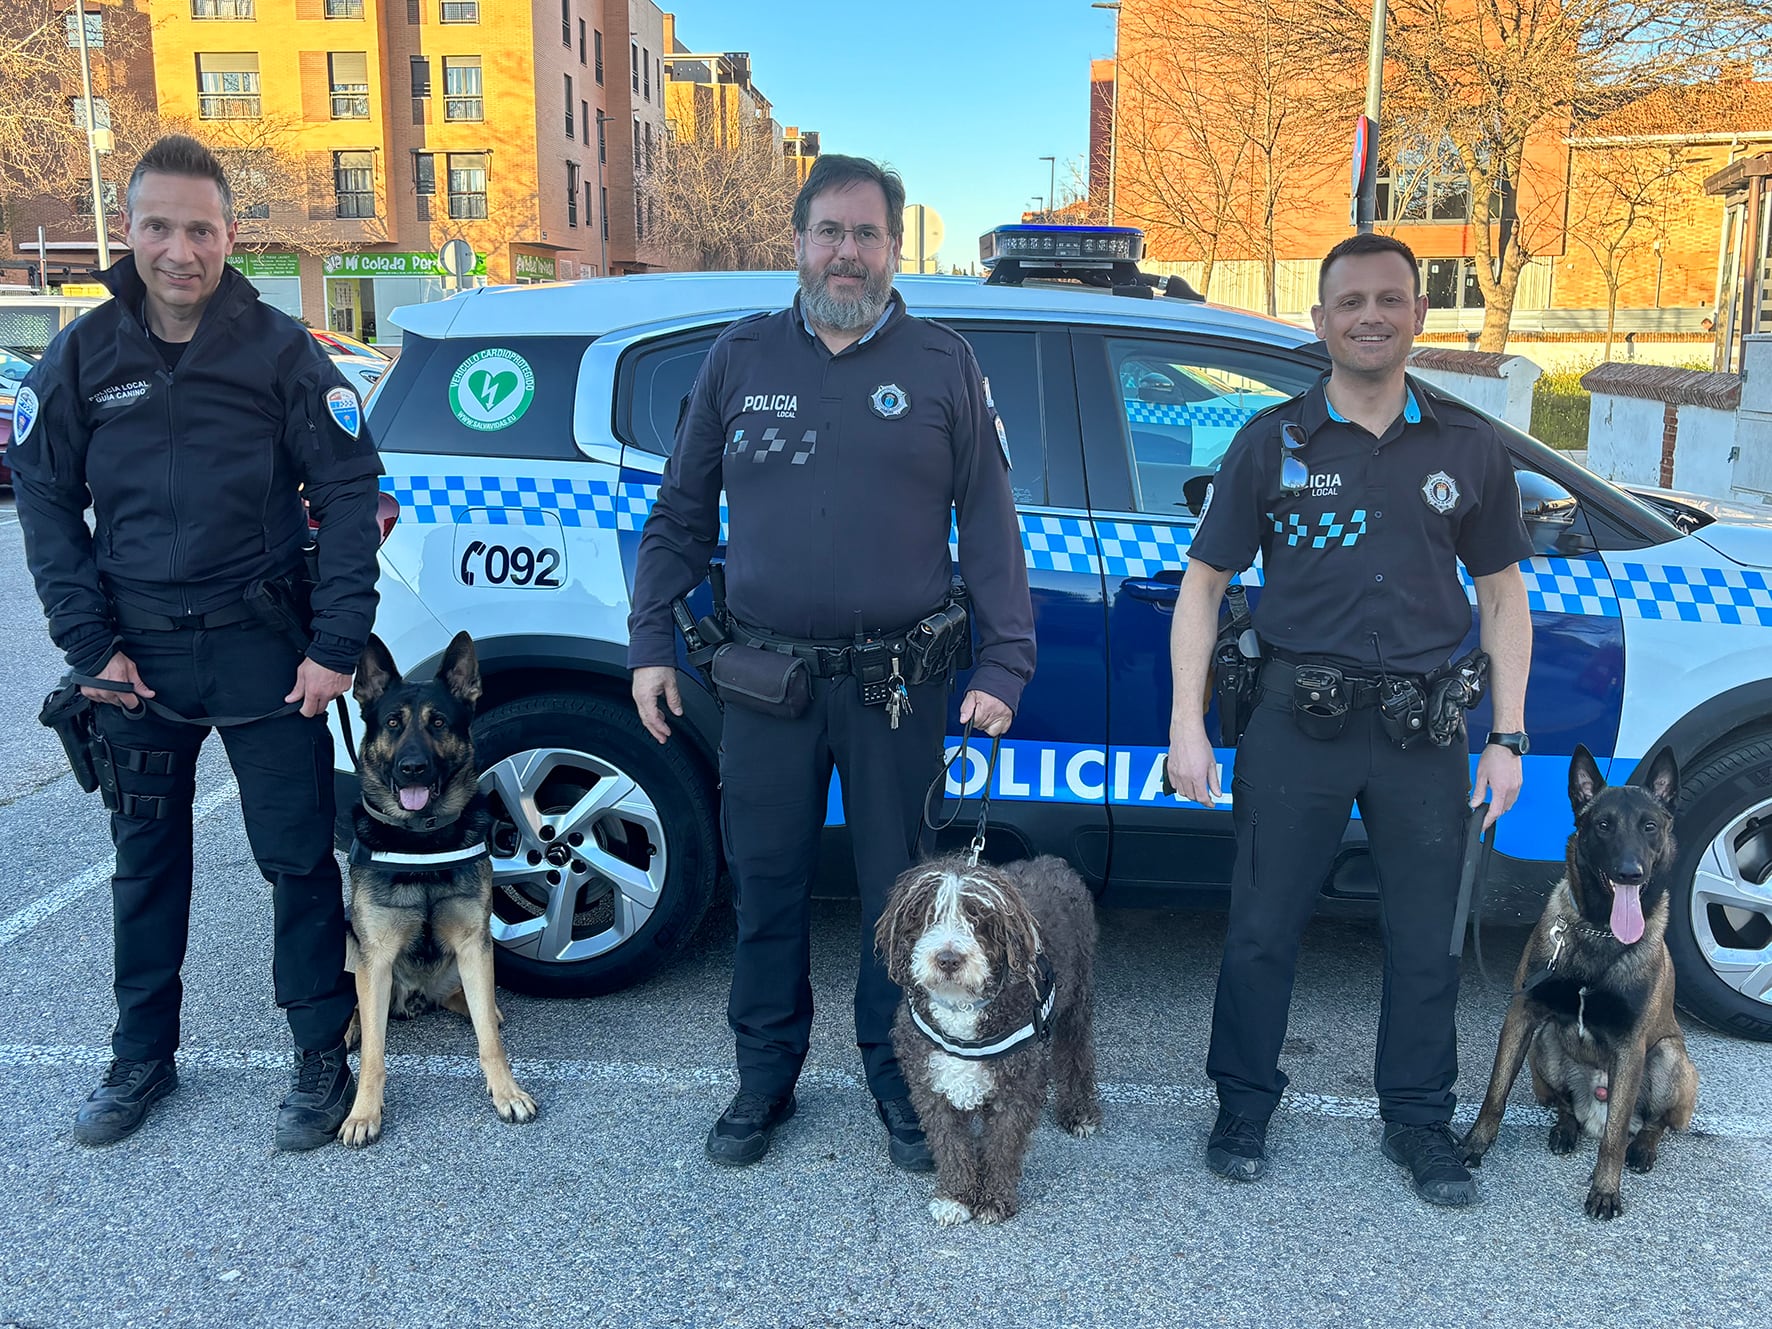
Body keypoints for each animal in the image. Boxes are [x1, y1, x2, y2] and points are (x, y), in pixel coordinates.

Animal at [334, 630, 535, 1148]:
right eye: (392, 723)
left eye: (439, 723)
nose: (413, 768)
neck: (422, 840)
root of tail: (415, 998)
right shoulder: (376, 956)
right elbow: (374, 1055)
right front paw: (363, 1112)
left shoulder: (472, 942)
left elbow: (490, 1039)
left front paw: (506, 1091)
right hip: (348, 942)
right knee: (358, 1006)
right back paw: (349, 1028)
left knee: (471, 1003)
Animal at [871, 854, 1091, 1226]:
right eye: (928, 916)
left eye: (976, 918)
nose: (948, 959)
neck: (961, 1007)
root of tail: (1051, 861)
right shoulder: (931, 1083)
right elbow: (950, 1144)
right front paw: (955, 1197)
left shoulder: (1016, 1087)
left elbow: (1002, 1145)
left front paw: (993, 1200)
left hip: (1078, 996)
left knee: (1077, 1052)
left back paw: (1081, 1112)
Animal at [1460, 744, 1694, 1226]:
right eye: (1603, 825)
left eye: (1649, 826)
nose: (1629, 873)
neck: (1600, 932)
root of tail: (1594, 1107)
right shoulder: (1523, 1015)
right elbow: (1495, 1094)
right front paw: (1474, 1145)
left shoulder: (1631, 1045)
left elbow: (1614, 1140)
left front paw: (1605, 1190)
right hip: (1545, 1044)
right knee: (1566, 1104)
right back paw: (1565, 1130)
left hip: (1667, 1056)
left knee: (1653, 1124)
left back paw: (1642, 1148)